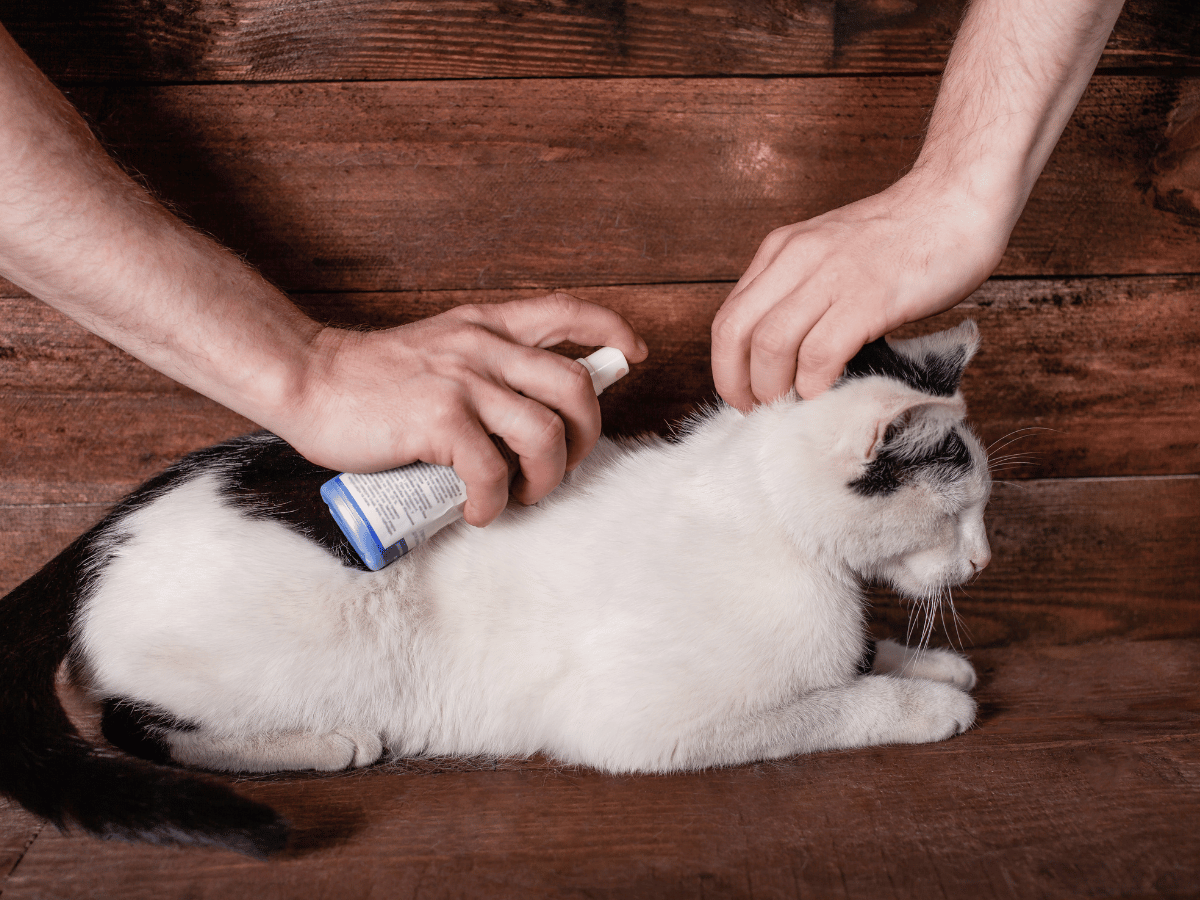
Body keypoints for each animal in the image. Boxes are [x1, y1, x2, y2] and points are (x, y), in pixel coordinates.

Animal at [0, 319, 988, 859]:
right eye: (959, 513)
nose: (980, 564)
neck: (776, 523)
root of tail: (104, 529)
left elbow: (855, 659)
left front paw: (925, 662)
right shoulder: (641, 724)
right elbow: (825, 705)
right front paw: (920, 702)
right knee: (132, 724)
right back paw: (325, 742)